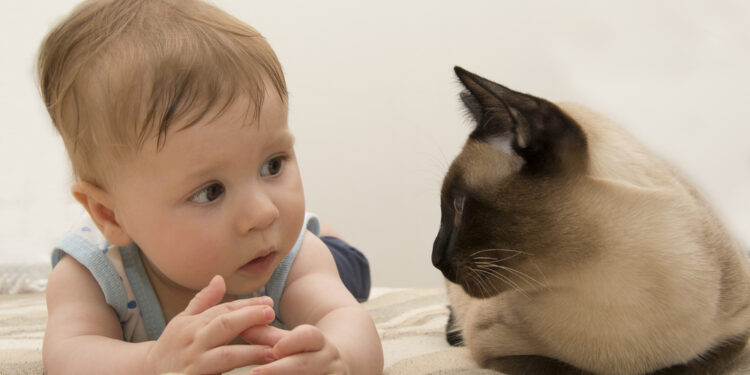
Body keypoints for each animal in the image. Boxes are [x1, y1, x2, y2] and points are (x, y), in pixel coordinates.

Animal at [432, 68, 750, 375]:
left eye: (459, 205)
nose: (435, 258)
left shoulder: (735, 335)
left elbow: (688, 366)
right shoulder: (497, 351)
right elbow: (571, 369)